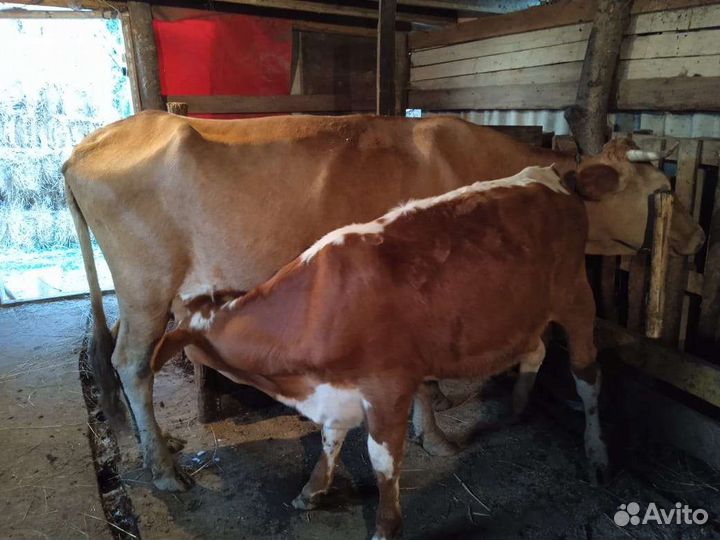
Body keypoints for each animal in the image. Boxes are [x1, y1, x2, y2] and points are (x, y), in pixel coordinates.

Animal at [63, 111, 704, 492]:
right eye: (664, 190)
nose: (700, 237)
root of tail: (90, 143)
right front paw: (438, 437)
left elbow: (527, 350)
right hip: (146, 285)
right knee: (131, 363)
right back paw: (165, 471)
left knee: (134, 362)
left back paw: (159, 447)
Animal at [149, 165, 608, 540]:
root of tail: (553, 174)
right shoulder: (337, 391)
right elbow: (329, 438)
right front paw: (312, 490)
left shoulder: (387, 386)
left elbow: (383, 462)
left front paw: (386, 527)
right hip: (525, 311)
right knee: (536, 350)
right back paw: (516, 408)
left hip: (577, 297)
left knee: (587, 376)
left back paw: (596, 454)